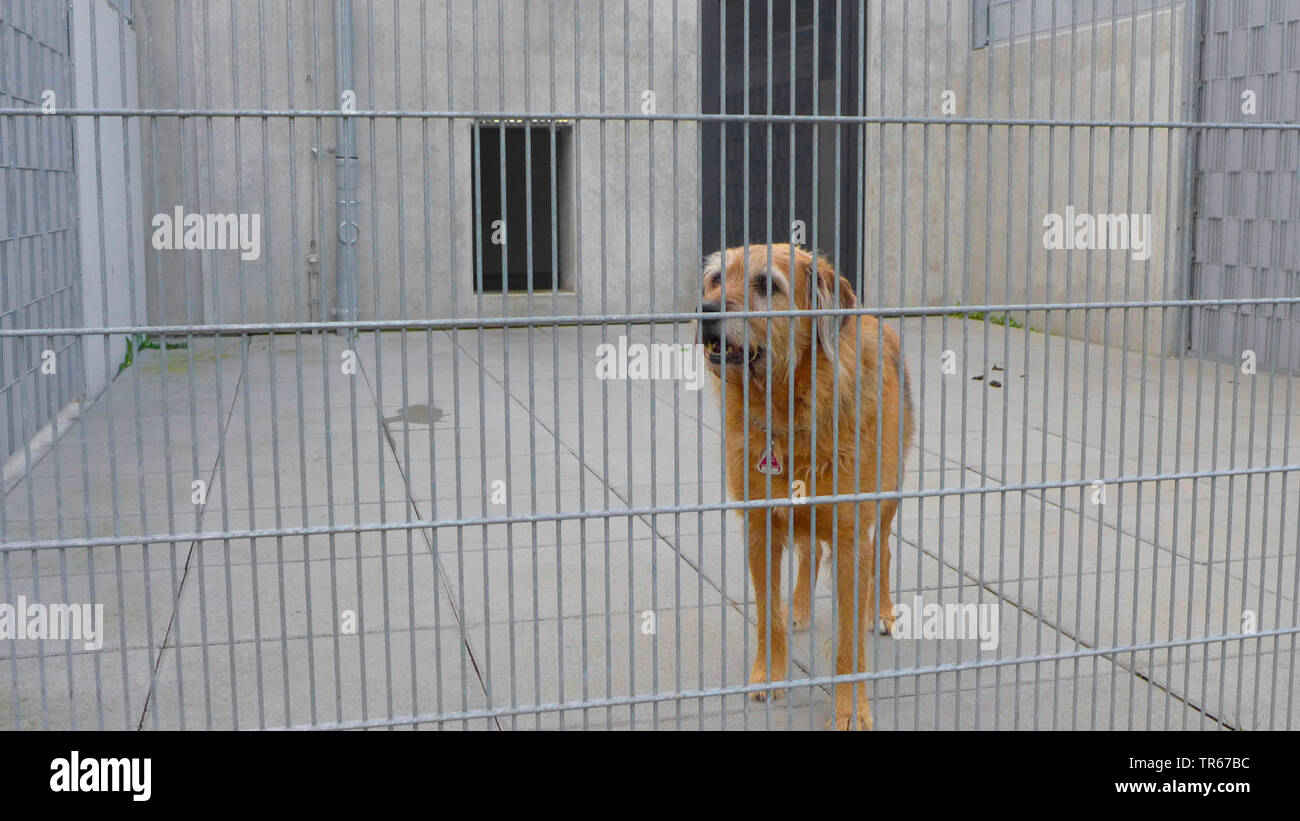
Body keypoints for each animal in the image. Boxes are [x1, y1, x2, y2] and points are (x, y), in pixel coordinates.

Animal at [702, 244, 915, 732]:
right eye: (716, 280)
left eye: (767, 285)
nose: (704, 312)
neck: (787, 412)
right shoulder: (760, 527)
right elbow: (767, 614)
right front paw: (768, 672)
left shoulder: (851, 536)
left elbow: (849, 640)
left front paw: (851, 708)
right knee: (810, 552)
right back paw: (798, 608)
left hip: (889, 495)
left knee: (883, 550)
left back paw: (882, 611)